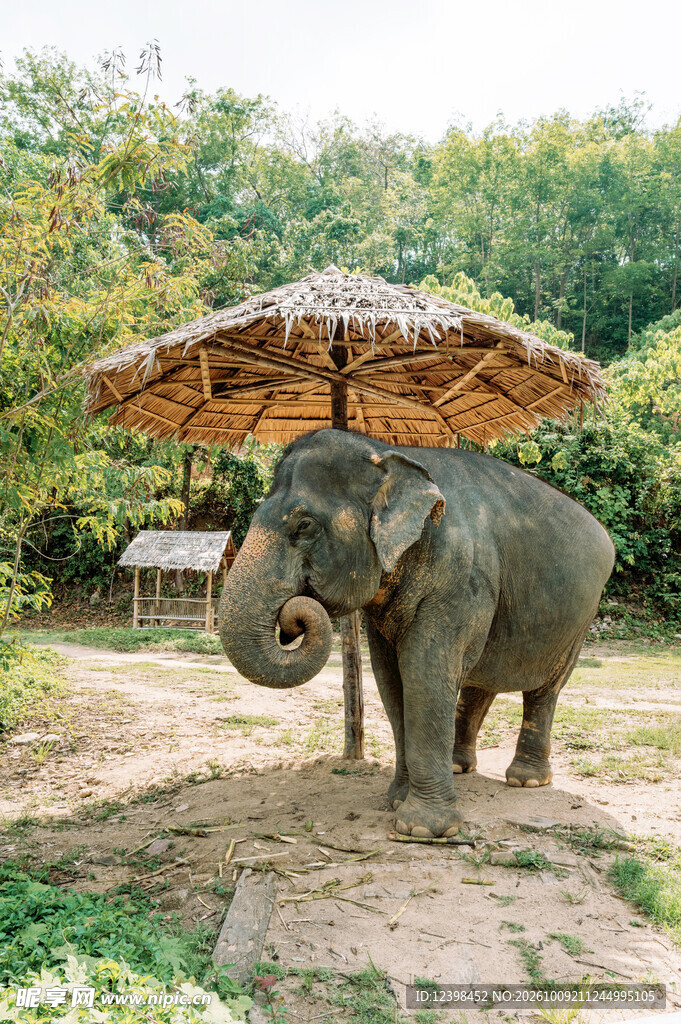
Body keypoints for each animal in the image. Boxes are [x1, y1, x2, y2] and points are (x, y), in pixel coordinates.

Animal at [219, 428, 614, 838]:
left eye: (304, 525)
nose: (291, 619)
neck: (387, 454)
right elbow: (392, 681)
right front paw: (396, 801)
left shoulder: (460, 579)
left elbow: (424, 673)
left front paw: (424, 830)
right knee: (479, 681)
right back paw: (458, 767)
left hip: (579, 622)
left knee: (545, 691)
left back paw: (526, 780)